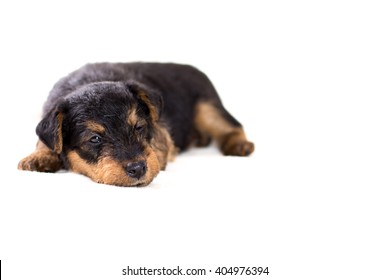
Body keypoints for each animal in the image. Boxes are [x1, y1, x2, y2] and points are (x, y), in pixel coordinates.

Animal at [18, 62, 254, 187]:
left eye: (139, 127)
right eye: (95, 139)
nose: (138, 168)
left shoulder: (160, 129)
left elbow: (159, 143)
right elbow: (44, 140)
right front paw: (38, 157)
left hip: (208, 107)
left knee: (233, 125)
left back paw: (239, 145)